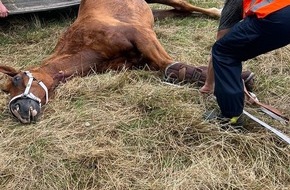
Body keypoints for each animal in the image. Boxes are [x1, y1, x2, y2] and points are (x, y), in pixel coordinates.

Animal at [0, 0, 254, 124]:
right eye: (7, 89)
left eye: (17, 78)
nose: (19, 111)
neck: (85, 46)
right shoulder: (137, 59)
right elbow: (172, 69)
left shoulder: (141, 34)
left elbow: (168, 66)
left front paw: (242, 82)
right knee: (178, 11)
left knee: (184, 6)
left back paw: (216, 11)